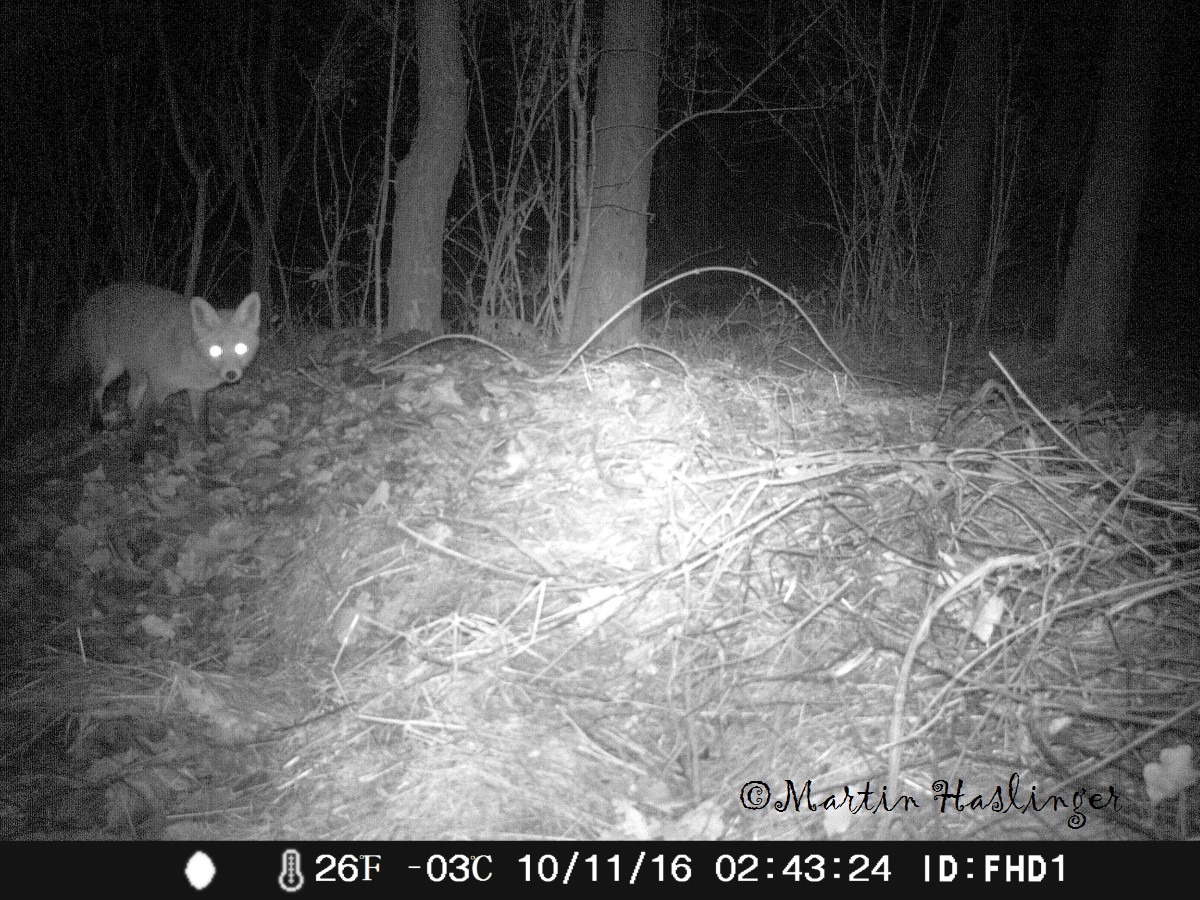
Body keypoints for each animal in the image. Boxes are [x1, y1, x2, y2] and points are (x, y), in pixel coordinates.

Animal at [58, 282, 261, 463]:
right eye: (215, 350)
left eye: (241, 348)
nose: (231, 374)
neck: (192, 360)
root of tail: (89, 301)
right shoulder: (157, 388)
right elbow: (144, 424)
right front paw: (137, 453)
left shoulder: (197, 390)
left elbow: (202, 419)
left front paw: (208, 440)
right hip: (111, 369)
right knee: (94, 390)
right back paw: (96, 422)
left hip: (139, 376)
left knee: (130, 400)